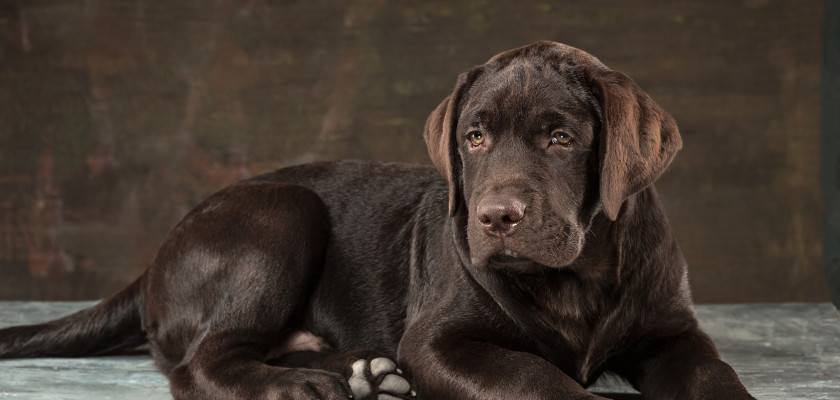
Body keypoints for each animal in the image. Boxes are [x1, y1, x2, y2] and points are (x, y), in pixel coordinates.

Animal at [0, 41, 756, 400]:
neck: (578, 276)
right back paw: (301, 385)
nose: (495, 217)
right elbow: (535, 380)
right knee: (202, 362)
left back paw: (364, 371)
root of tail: (157, 255)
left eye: (561, 139)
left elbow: (714, 376)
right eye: (474, 138)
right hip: (283, 213)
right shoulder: (441, 341)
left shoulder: (673, 333)